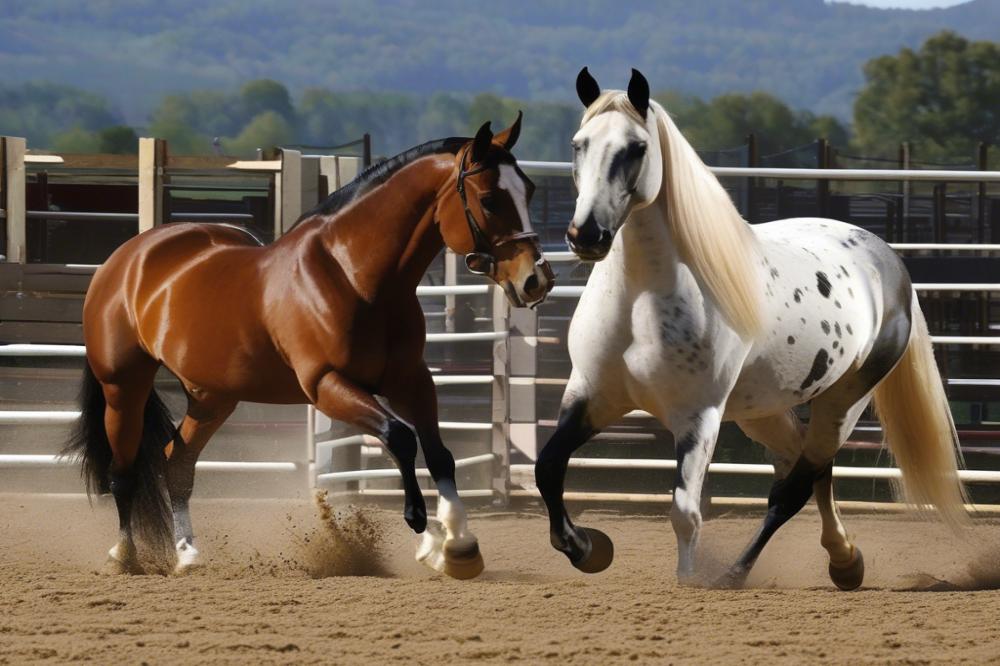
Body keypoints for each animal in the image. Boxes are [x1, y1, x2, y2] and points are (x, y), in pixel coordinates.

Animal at [68, 115, 556, 576]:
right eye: (489, 198)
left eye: (530, 189)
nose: (535, 280)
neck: (350, 275)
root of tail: (127, 258)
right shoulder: (327, 385)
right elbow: (400, 437)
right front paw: (428, 539)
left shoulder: (410, 380)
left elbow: (439, 454)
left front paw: (460, 546)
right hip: (124, 388)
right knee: (124, 473)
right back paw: (122, 556)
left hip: (212, 398)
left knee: (176, 464)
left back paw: (188, 555)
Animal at [540, 66, 968, 588]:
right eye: (578, 144)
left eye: (636, 147)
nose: (586, 235)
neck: (640, 301)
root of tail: (888, 262)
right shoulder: (592, 396)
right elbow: (548, 469)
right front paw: (586, 548)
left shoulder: (698, 416)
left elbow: (685, 511)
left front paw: (688, 580)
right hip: (763, 410)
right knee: (806, 468)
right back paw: (844, 558)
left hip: (842, 402)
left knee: (794, 488)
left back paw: (744, 573)